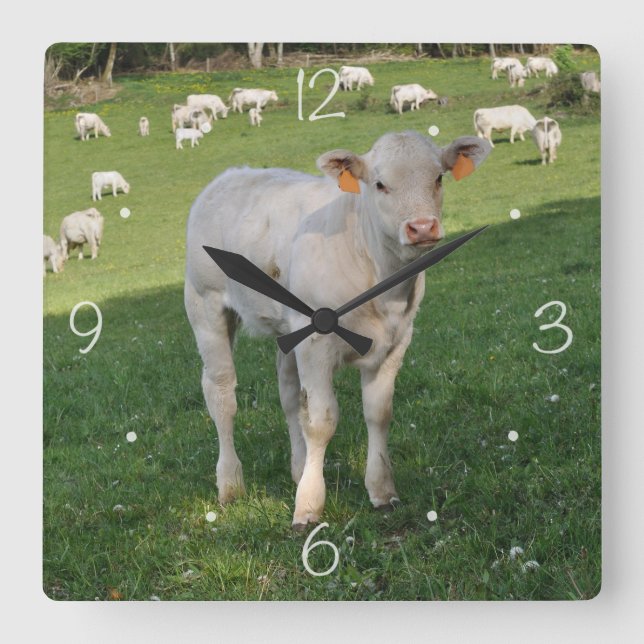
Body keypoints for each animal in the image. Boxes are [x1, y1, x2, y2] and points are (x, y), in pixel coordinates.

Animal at [184, 130, 492, 528]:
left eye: (438, 177)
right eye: (379, 184)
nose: (422, 227)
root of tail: (232, 174)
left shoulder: (396, 342)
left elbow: (377, 413)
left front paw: (381, 491)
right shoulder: (316, 344)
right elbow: (322, 421)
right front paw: (308, 506)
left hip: (288, 329)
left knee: (289, 395)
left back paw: (298, 468)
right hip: (205, 305)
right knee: (221, 394)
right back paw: (230, 485)